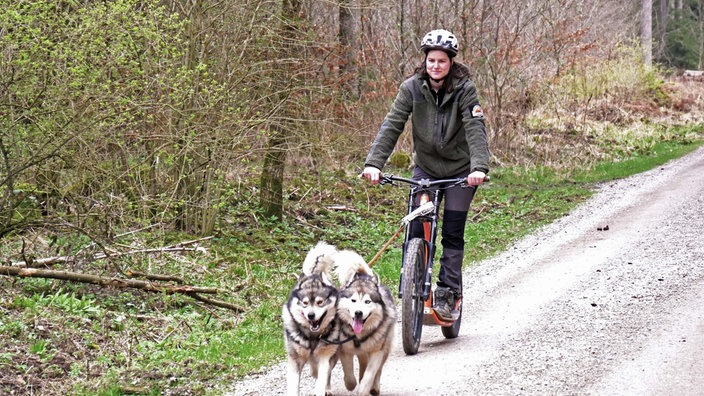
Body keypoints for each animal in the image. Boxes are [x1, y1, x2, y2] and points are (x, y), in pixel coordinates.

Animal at [284, 241, 342, 396]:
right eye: (304, 303)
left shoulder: (325, 356)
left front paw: (322, 388)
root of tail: (314, 274)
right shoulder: (295, 359)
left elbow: (322, 378)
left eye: (320, 302)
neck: (312, 336)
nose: (311, 315)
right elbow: (294, 385)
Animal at [334, 249, 396, 394]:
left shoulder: (377, 351)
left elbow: (370, 374)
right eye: (353, 300)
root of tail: (364, 276)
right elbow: (349, 374)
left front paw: (363, 389)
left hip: (385, 346)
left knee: (377, 370)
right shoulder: (345, 350)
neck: (358, 336)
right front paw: (351, 384)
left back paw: (374, 387)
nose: (358, 313)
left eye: (367, 301)